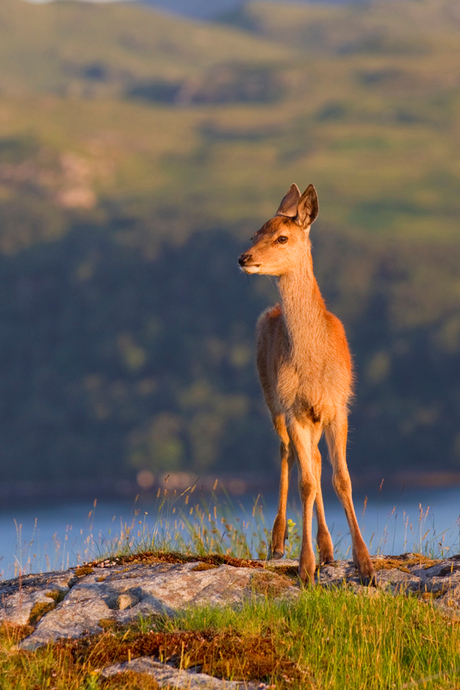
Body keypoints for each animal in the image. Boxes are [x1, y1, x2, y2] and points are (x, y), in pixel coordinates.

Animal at [239, 181, 376, 580]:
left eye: (282, 237)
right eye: (255, 233)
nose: (243, 257)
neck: (314, 367)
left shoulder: (338, 405)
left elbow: (341, 478)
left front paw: (365, 565)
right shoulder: (294, 409)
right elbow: (305, 483)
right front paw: (305, 566)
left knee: (314, 460)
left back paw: (328, 549)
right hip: (272, 399)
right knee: (289, 454)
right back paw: (278, 542)